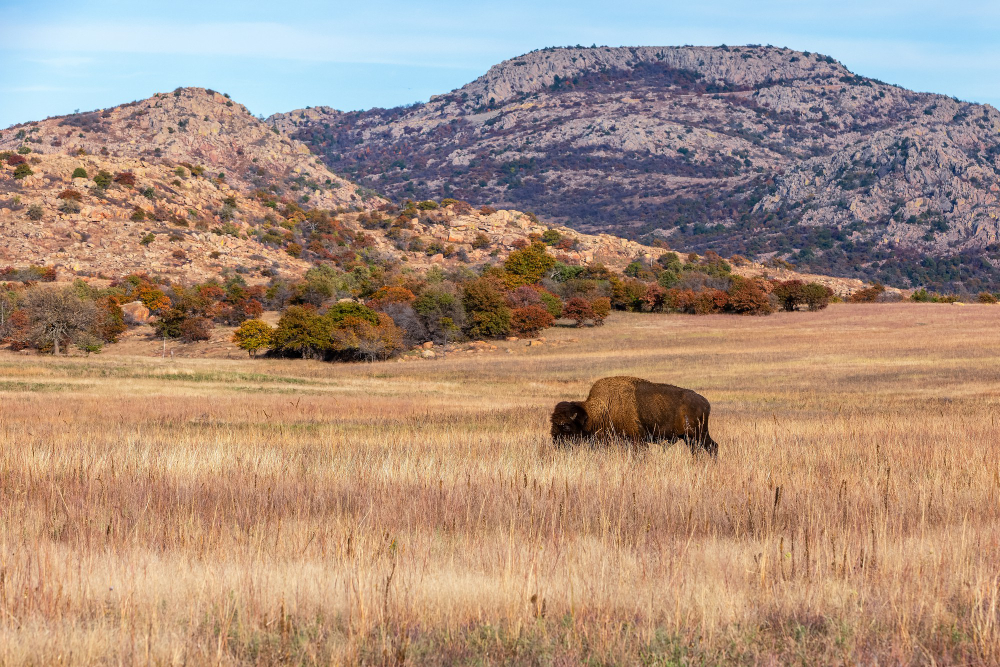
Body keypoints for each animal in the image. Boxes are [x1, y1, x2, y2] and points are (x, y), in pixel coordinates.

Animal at [548, 376, 720, 454]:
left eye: (565, 426)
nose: (556, 443)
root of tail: (705, 402)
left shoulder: (637, 440)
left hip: (698, 434)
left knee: (713, 447)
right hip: (689, 438)